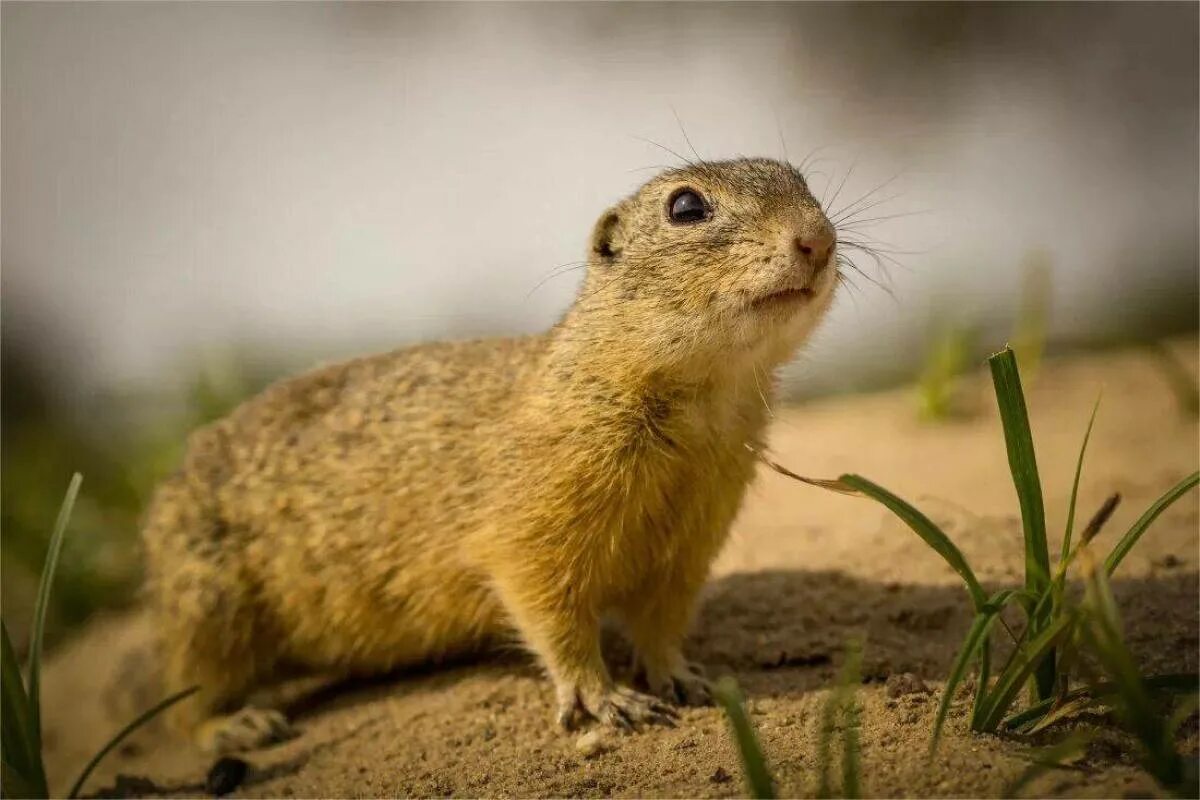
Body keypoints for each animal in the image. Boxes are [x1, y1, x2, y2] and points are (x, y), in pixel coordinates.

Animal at [142, 155, 835, 753]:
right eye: (686, 206)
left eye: (803, 182)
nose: (818, 239)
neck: (700, 405)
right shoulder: (530, 532)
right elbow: (555, 618)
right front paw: (607, 699)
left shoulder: (690, 546)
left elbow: (662, 625)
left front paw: (688, 678)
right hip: (209, 614)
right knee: (181, 707)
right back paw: (239, 726)